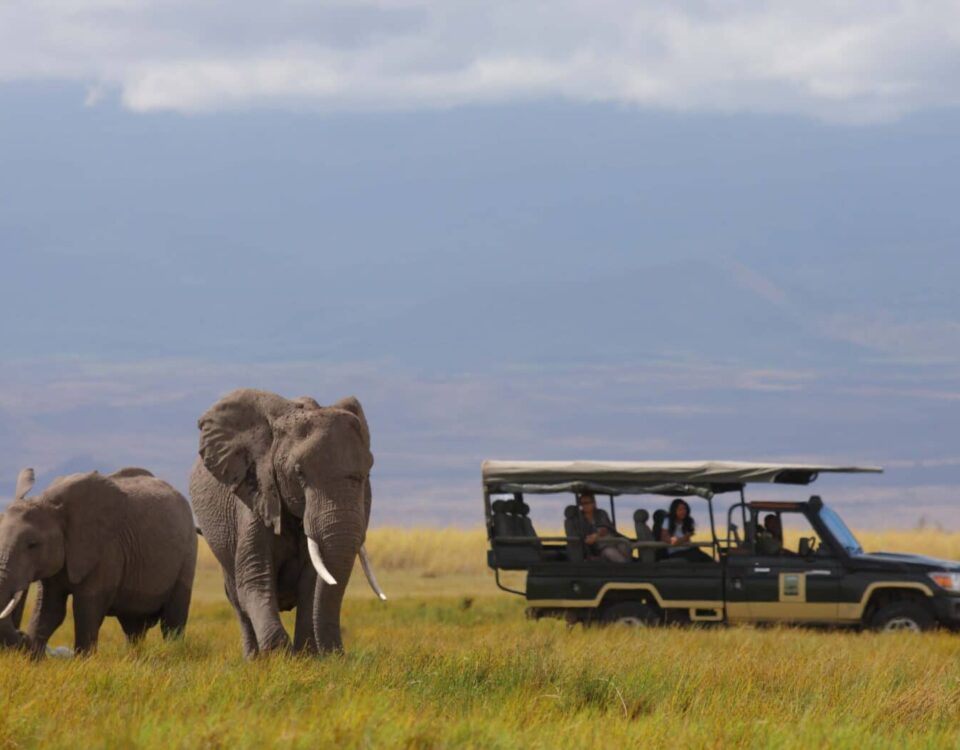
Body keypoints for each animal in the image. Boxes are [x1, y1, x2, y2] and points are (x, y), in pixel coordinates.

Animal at [0, 468, 198, 656]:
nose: (22, 635)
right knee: (133, 627)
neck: (49, 503)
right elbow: (49, 610)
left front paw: (83, 661)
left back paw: (173, 653)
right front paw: (34, 660)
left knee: (172, 620)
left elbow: (86, 609)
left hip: (188, 553)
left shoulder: (106, 551)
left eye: (32, 545)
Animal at [189, 388, 384, 656]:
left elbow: (312, 584)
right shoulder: (256, 493)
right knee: (237, 600)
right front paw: (280, 656)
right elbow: (255, 579)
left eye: (368, 474)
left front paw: (307, 657)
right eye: (299, 473)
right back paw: (253, 658)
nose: (339, 654)